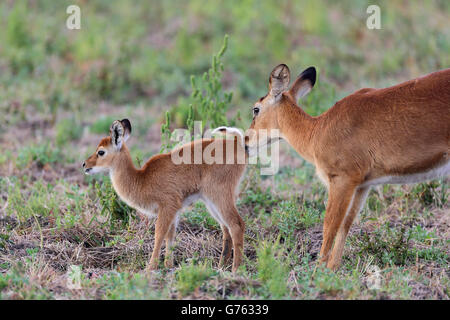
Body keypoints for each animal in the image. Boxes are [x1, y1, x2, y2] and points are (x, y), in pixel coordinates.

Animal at [84, 119, 246, 272]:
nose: (84, 165)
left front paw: (151, 267)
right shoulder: (174, 211)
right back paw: (221, 266)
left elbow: (159, 233)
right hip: (211, 202)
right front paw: (168, 265)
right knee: (226, 229)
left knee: (237, 224)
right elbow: (170, 235)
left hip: (219, 196)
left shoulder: (167, 206)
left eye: (101, 152)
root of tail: (238, 145)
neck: (141, 180)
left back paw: (235, 269)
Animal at [246, 65, 450, 270]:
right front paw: (333, 268)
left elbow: (330, 224)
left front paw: (318, 270)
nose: (246, 143)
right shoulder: (362, 185)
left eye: (256, 109)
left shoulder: (341, 180)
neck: (317, 131)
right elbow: (346, 223)